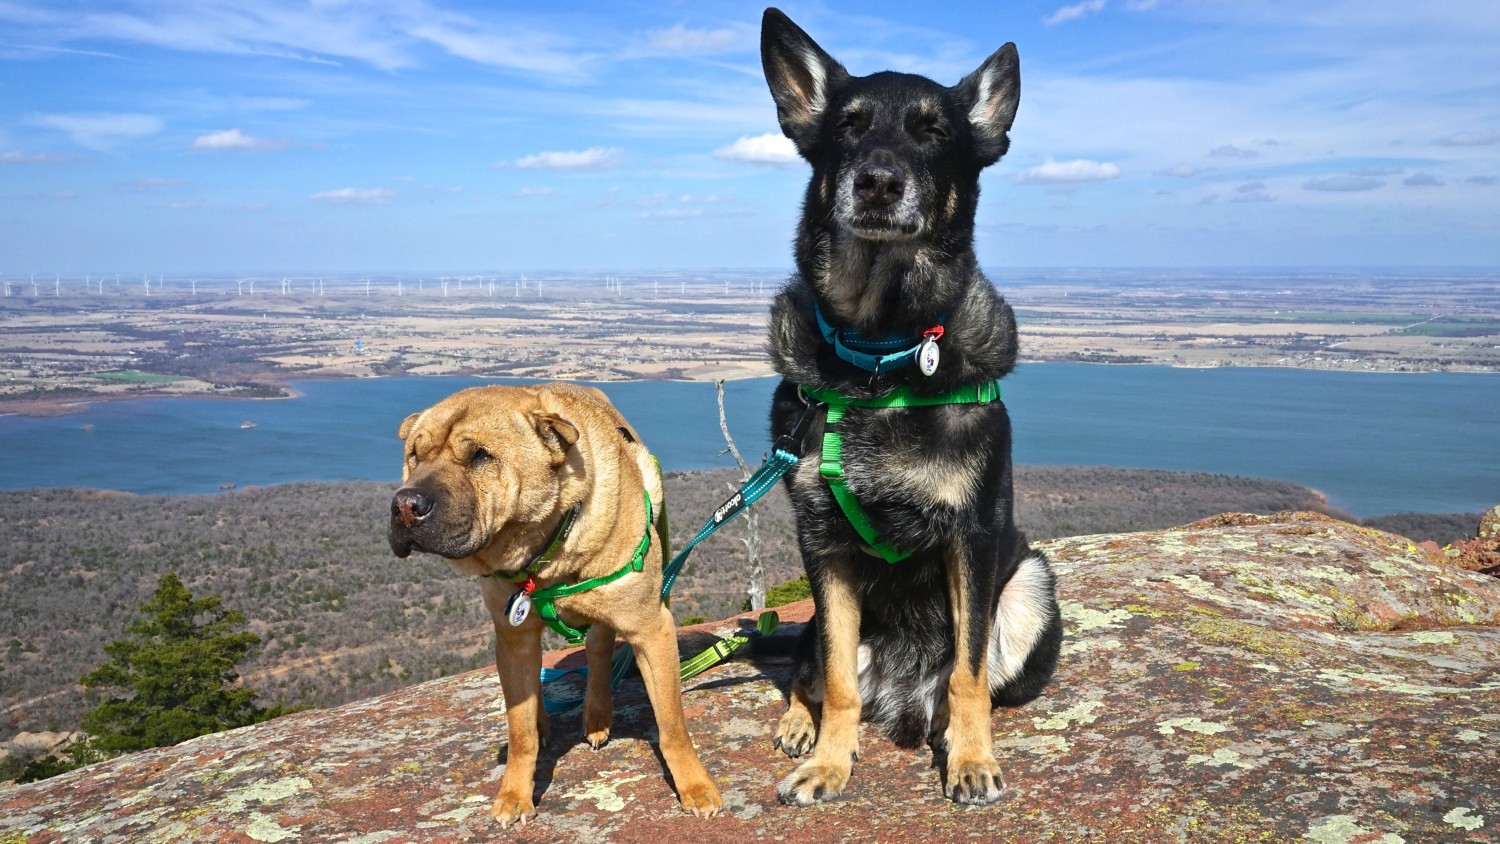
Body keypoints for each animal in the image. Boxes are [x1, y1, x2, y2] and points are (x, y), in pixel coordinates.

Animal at [762, 8, 1068, 809]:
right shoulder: (823, 548)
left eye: (933, 132)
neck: (882, 355)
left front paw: (970, 758)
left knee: (971, 678)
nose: (876, 181)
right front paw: (829, 761)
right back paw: (798, 724)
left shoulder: (972, 536)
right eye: (848, 127)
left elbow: (968, 675)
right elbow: (838, 679)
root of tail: (903, 694)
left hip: (1031, 585)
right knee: (811, 668)